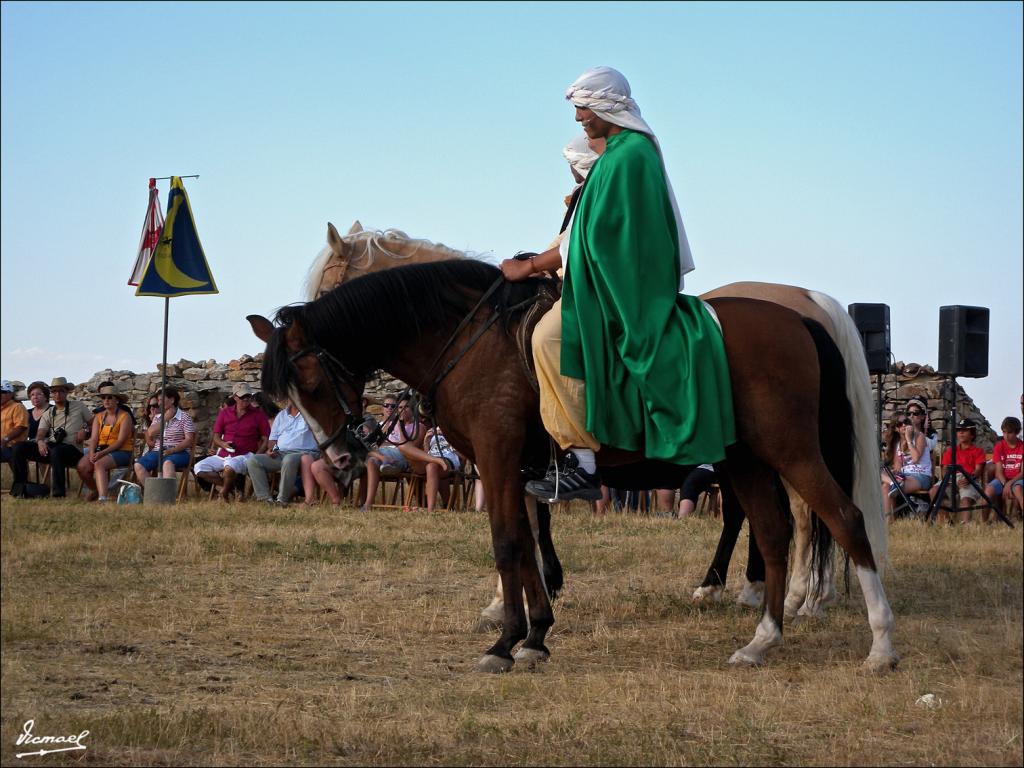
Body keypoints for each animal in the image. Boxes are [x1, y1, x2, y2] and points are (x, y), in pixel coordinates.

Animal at [251, 259, 901, 671]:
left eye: (312, 380)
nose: (339, 455)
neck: (471, 337)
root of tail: (800, 314)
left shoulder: (498, 455)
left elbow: (509, 542)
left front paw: (507, 640)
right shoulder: (517, 468)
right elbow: (527, 542)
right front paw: (535, 634)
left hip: (791, 452)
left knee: (841, 519)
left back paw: (876, 642)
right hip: (746, 459)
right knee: (772, 529)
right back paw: (762, 638)